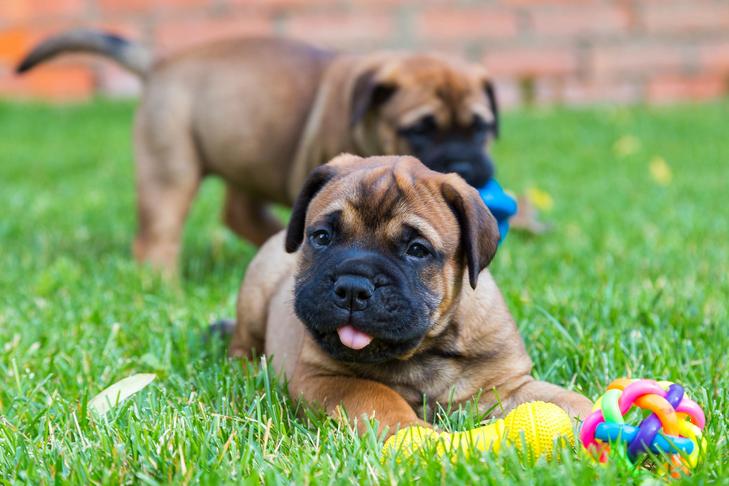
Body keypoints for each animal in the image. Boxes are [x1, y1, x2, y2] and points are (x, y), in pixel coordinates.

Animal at [18, 30, 500, 276]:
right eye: (419, 130)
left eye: (481, 128)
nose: (466, 166)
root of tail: (161, 62)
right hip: (169, 167)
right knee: (158, 237)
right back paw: (165, 287)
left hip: (245, 156)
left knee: (241, 214)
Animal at [229, 154, 592, 434]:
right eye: (321, 237)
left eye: (417, 250)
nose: (353, 287)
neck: (425, 350)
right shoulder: (324, 378)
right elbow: (377, 396)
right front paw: (417, 436)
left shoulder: (506, 385)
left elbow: (566, 399)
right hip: (256, 291)